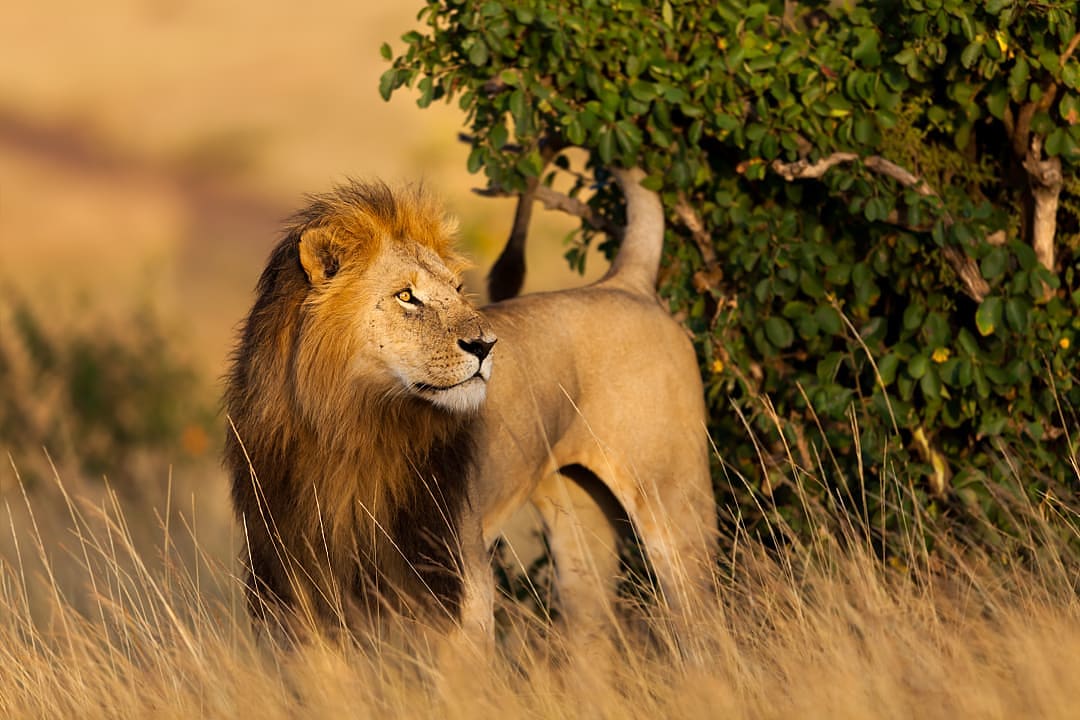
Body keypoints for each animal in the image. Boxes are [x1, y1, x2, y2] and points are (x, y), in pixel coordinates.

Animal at [224, 169, 717, 659]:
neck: (350, 428)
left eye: (459, 290)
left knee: (703, 620)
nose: (485, 345)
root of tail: (625, 281)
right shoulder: (295, 591)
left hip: (675, 505)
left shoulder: (461, 585)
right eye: (406, 296)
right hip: (580, 528)